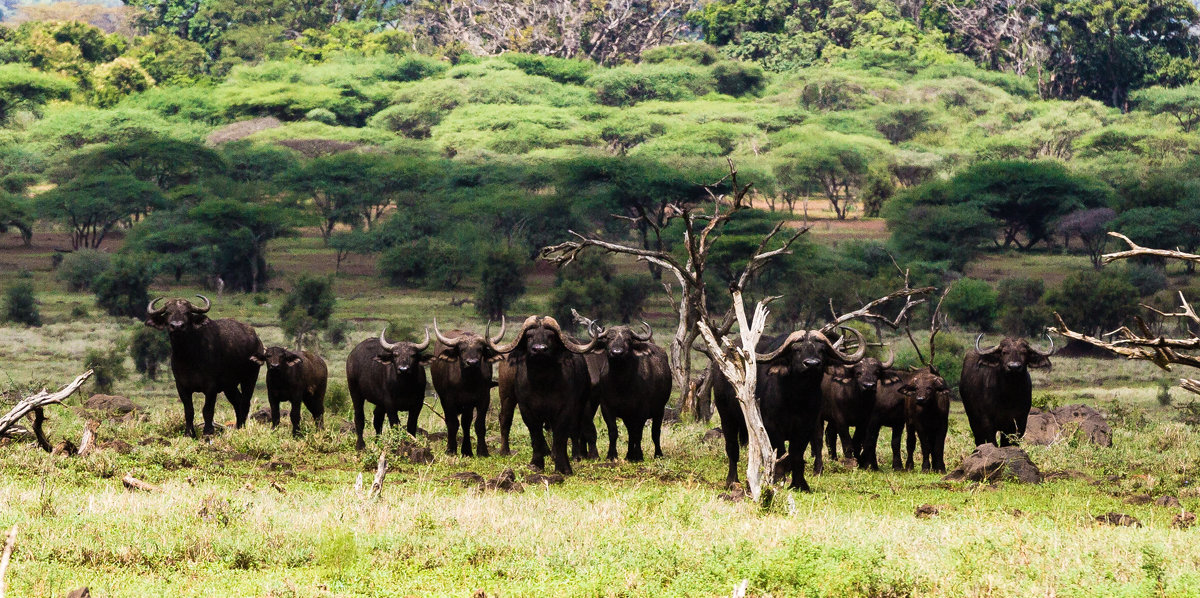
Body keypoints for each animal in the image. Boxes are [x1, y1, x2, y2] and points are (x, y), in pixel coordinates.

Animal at [145, 296, 262, 437]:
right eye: (168, 312)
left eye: (187, 312)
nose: (177, 326)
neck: (188, 357)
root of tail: (257, 340)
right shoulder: (181, 386)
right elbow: (189, 410)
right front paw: (189, 433)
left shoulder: (211, 386)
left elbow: (207, 410)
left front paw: (208, 432)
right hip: (229, 385)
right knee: (237, 402)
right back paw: (238, 426)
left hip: (250, 378)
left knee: (245, 402)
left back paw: (242, 428)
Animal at [432, 319, 506, 456]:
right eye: (461, 349)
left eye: (480, 349)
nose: (472, 362)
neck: (468, 383)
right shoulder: (448, 400)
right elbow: (452, 423)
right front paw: (451, 450)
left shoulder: (483, 399)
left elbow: (479, 424)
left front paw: (482, 451)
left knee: (466, 423)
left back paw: (467, 451)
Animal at [492, 314, 595, 473]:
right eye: (529, 336)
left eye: (551, 336)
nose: (539, 349)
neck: (542, 383)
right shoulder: (526, 409)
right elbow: (536, 435)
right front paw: (536, 464)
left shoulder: (566, 408)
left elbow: (561, 436)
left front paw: (563, 467)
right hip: (506, 395)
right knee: (505, 418)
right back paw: (505, 451)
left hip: (581, 404)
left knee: (574, 428)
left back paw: (571, 455)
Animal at [583, 321, 676, 463]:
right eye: (609, 338)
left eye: (628, 339)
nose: (617, 352)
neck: (621, 384)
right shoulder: (606, 408)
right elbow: (613, 431)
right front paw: (612, 455)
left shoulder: (642, 410)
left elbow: (639, 433)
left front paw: (639, 456)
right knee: (631, 432)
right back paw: (629, 455)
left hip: (659, 410)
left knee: (655, 432)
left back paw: (657, 454)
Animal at [710, 326, 864, 489]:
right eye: (796, 349)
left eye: (821, 350)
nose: (812, 364)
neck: (796, 398)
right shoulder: (771, 427)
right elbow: (781, 452)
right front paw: (778, 479)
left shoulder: (806, 427)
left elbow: (797, 453)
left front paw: (799, 483)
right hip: (726, 416)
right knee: (732, 447)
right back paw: (732, 481)